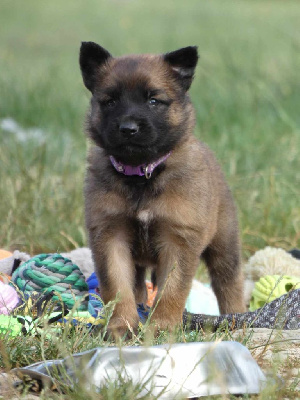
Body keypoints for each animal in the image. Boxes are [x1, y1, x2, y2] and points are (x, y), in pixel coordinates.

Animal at [79, 42, 246, 336]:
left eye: (153, 101)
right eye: (110, 101)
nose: (128, 128)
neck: (143, 174)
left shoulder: (179, 238)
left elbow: (173, 289)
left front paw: (162, 327)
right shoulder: (111, 236)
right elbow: (117, 286)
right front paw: (122, 325)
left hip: (224, 243)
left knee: (228, 281)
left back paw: (234, 317)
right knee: (137, 286)